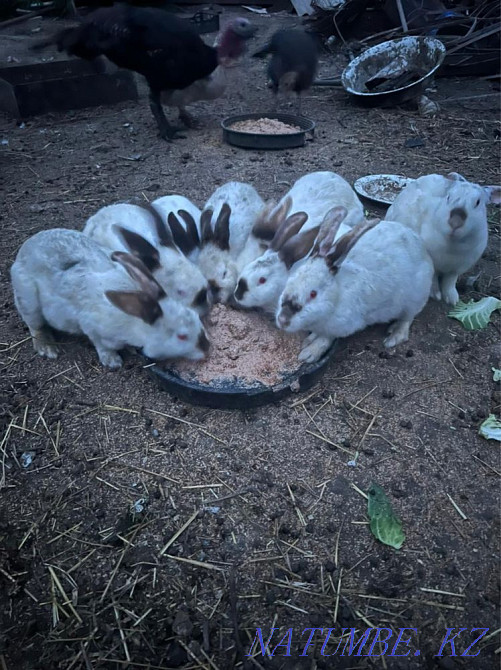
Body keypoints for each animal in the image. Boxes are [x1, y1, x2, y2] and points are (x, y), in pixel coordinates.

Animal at [11, 229, 210, 369]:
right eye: (182, 336)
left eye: (195, 317)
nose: (207, 347)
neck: (135, 322)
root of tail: (25, 248)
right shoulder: (91, 327)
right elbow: (101, 345)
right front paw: (112, 361)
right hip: (28, 301)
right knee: (35, 326)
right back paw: (47, 348)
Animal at [276, 207, 434, 363]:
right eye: (288, 282)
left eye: (313, 294)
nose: (282, 320)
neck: (335, 296)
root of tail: (423, 250)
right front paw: (309, 340)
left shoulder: (342, 326)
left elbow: (325, 339)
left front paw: (308, 354)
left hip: (414, 299)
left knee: (407, 319)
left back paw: (393, 337)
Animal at [386, 172, 501, 305]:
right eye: (448, 197)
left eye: (477, 202)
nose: (455, 222)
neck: (452, 243)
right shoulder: (433, 263)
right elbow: (434, 279)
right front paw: (435, 295)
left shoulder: (456, 268)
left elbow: (450, 282)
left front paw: (452, 300)